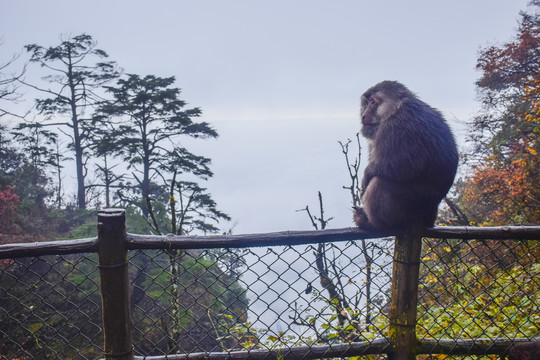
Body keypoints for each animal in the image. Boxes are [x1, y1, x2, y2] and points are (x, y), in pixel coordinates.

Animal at [354, 81, 460, 231]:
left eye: (373, 102)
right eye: (366, 102)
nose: (363, 115)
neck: (395, 108)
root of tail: (429, 218)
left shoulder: (398, 125)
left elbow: (404, 165)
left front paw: (366, 178)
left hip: (412, 206)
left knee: (379, 182)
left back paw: (375, 224)